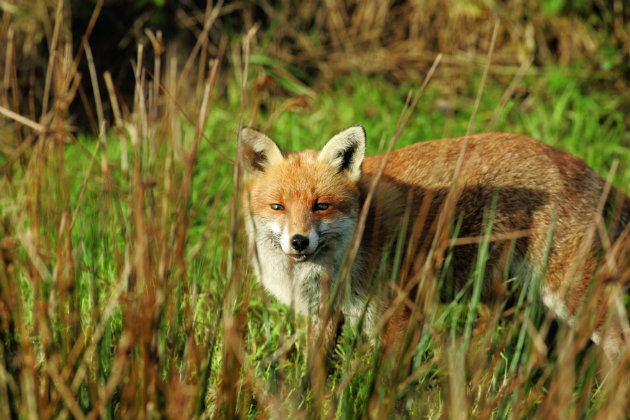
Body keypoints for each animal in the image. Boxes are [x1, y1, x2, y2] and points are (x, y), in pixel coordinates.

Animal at [239, 124, 628, 364]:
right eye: (278, 207)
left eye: (321, 206)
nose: (299, 241)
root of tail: (587, 169)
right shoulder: (324, 315)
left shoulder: (397, 313)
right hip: (506, 294)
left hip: (570, 293)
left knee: (619, 344)